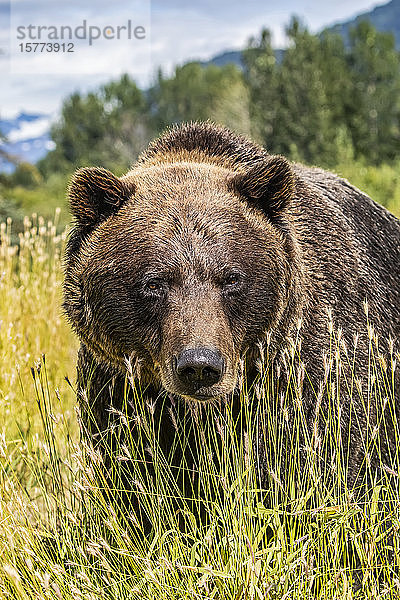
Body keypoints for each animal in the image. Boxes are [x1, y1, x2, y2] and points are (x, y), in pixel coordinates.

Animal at [64, 122, 400, 516]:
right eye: (154, 282)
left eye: (231, 277)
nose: (199, 366)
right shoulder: (120, 386)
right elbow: (134, 474)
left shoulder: (308, 362)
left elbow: (323, 458)